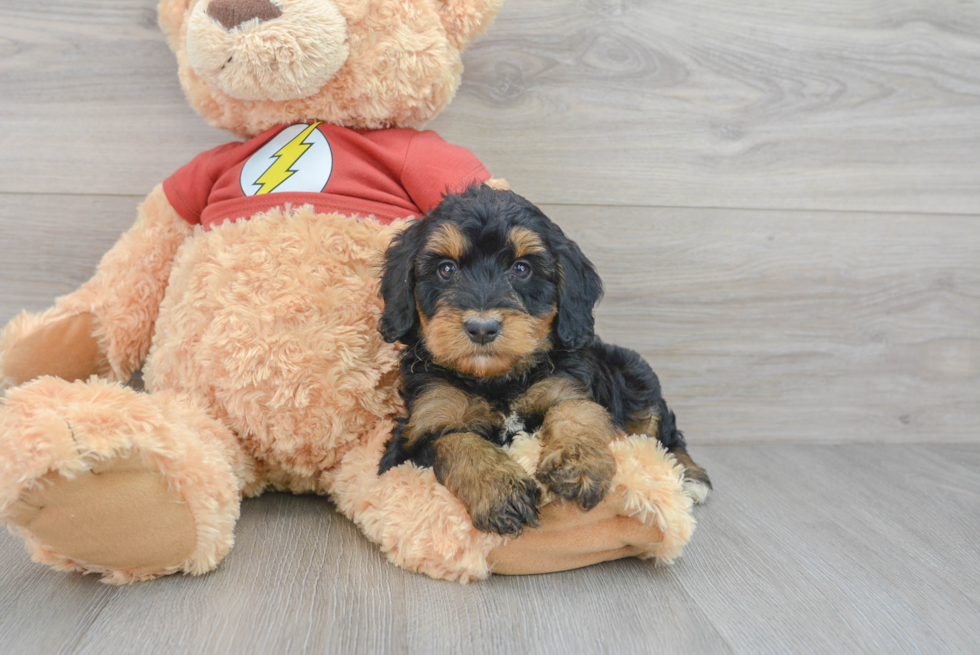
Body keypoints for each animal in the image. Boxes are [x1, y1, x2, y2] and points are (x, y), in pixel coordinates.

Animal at [378, 186, 712, 540]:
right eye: (446, 269)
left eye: (521, 269)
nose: (482, 328)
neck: (497, 380)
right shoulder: (414, 436)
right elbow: (454, 440)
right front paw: (499, 488)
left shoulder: (565, 386)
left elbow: (576, 411)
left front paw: (578, 463)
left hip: (635, 375)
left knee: (663, 431)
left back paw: (691, 476)